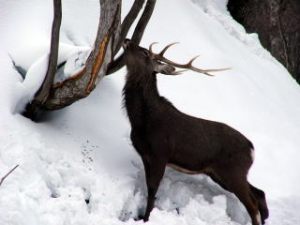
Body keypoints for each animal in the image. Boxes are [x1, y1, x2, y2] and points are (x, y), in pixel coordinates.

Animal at [122, 38, 270, 225]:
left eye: (144, 52)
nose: (127, 40)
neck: (142, 122)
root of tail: (252, 150)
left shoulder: (160, 154)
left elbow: (153, 189)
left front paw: (147, 218)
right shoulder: (145, 155)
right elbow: (149, 187)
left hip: (233, 172)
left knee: (252, 205)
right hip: (221, 174)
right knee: (259, 193)